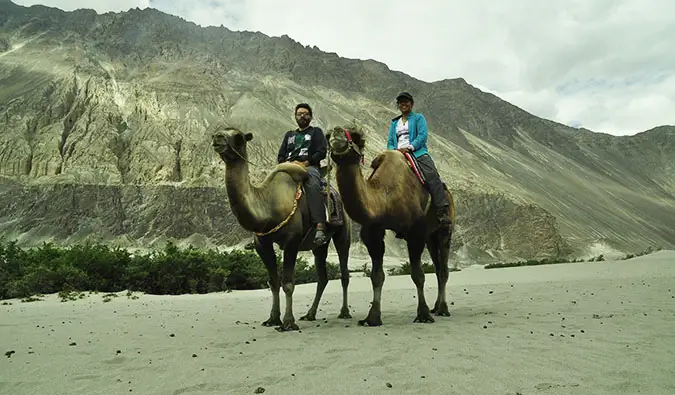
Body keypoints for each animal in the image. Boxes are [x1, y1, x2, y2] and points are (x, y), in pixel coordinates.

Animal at [210, 125, 354, 332]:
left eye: (237, 136)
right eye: (219, 132)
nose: (217, 137)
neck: (268, 204)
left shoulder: (291, 241)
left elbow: (288, 284)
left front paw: (288, 322)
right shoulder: (262, 243)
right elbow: (273, 282)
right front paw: (272, 319)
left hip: (343, 233)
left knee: (344, 273)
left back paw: (344, 312)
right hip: (319, 246)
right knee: (322, 277)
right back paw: (310, 314)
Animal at [326, 124, 456, 328]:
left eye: (355, 136)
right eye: (327, 135)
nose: (337, 132)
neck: (384, 198)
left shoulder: (415, 233)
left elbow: (418, 275)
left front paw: (423, 314)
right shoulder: (373, 233)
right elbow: (376, 276)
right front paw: (372, 318)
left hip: (445, 229)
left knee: (443, 269)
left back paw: (442, 309)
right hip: (430, 237)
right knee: (437, 267)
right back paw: (436, 307)